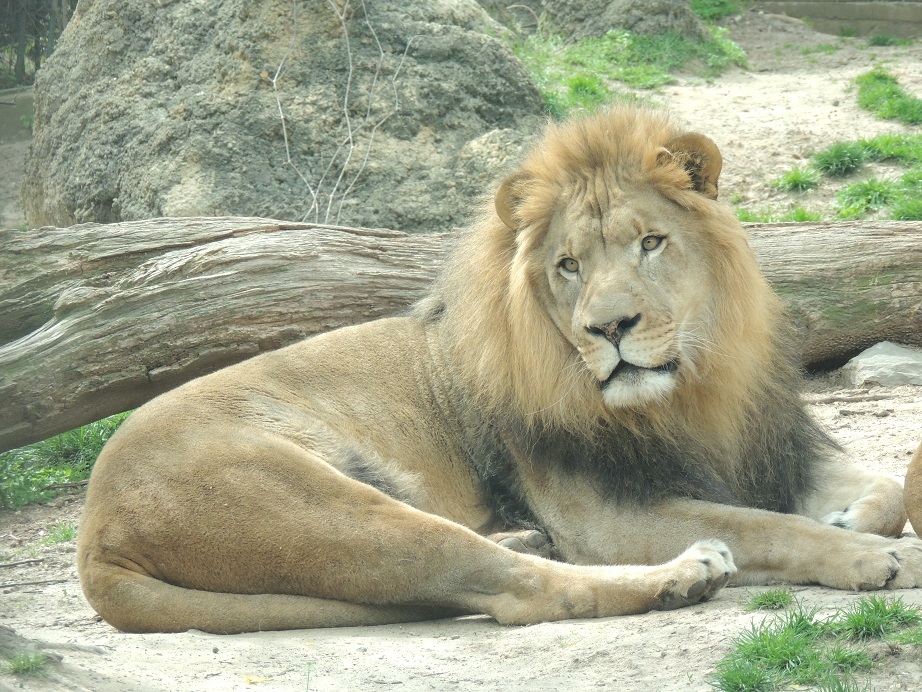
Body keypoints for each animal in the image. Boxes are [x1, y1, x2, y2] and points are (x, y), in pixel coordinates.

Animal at [77, 107, 922, 634]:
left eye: (650, 242)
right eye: (569, 266)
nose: (609, 328)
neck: (687, 391)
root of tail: (94, 530)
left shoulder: (766, 445)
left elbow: (882, 486)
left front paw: (855, 522)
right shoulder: (604, 513)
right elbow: (765, 525)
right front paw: (871, 557)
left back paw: (531, 540)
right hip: (325, 507)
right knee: (520, 593)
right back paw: (683, 574)